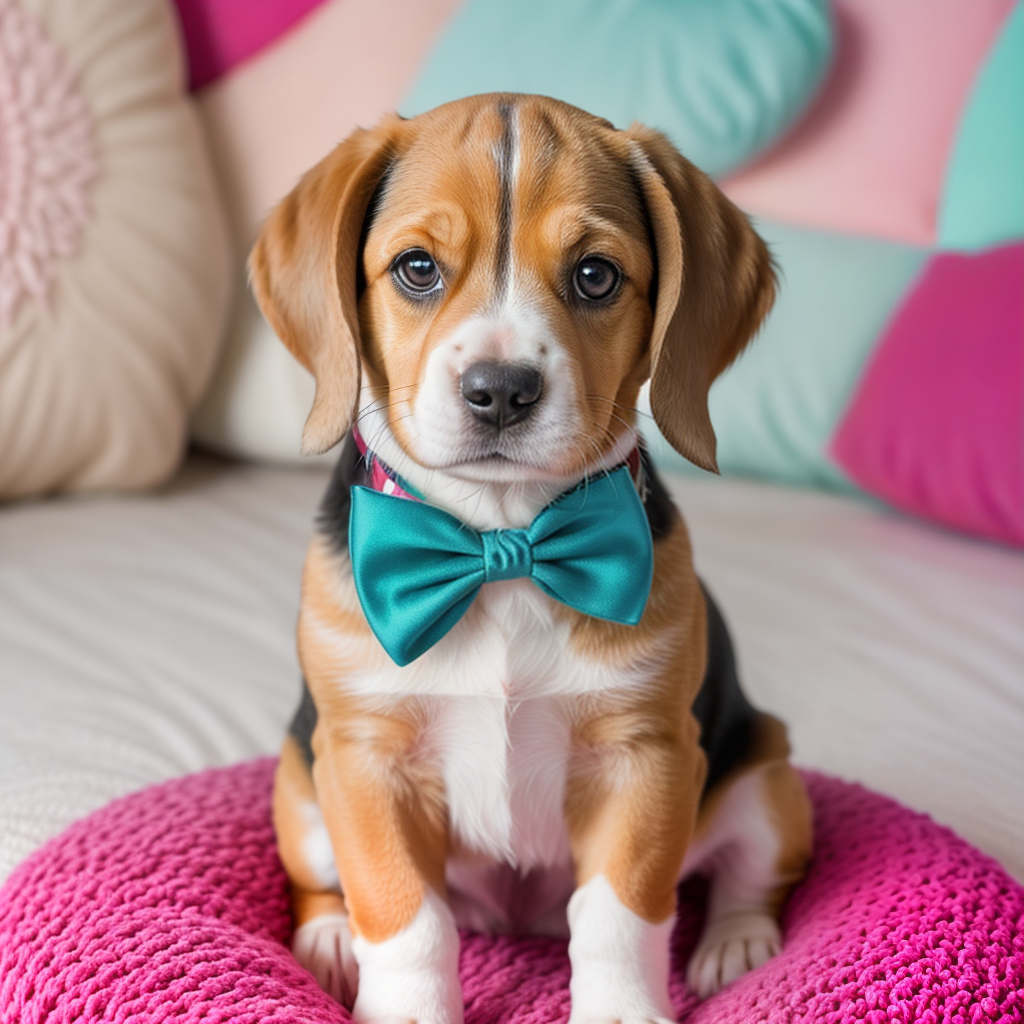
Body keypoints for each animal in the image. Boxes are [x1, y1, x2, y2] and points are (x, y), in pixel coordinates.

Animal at [251, 92, 811, 1019]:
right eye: (416, 268)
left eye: (596, 275)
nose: (502, 390)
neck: (499, 545)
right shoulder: (365, 762)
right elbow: (405, 915)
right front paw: (407, 1006)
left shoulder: (648, 758)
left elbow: (621, 912)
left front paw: (622, 1009)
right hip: (301, 787)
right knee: (324, 885)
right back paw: (328, 935)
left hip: (765, 776)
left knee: (749, 878)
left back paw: (736, 945)